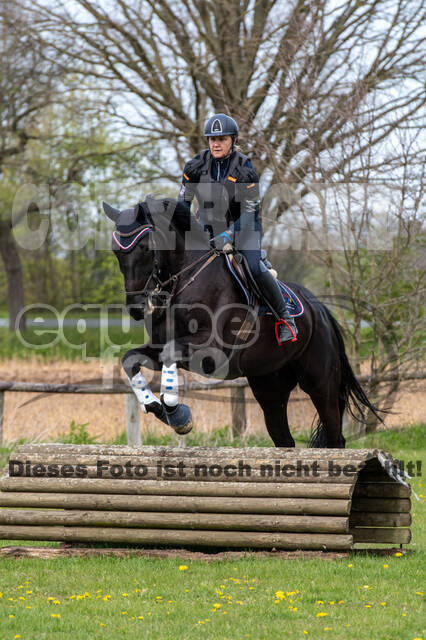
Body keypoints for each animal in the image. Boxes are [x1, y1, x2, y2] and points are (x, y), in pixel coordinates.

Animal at [102, 198, 380, 448]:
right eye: (116, 251)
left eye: (146, 248)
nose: (136, 307)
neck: (186, 278)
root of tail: (320, 311)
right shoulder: (159, 347)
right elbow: (130, 359)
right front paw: (156, 407)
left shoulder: (210, 350)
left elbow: (171, 354)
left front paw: (178, 416)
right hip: (270, 388)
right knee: (283, 438)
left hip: (320, 384)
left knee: (334, 437)